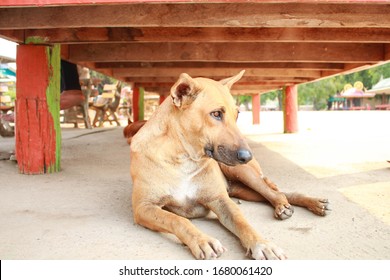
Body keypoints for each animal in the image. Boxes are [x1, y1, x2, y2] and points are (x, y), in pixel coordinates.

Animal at [129, 70, 330, 260]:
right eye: (216, 114)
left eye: (237, 114)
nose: (248, 156)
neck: (183, 157)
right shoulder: (144, 208)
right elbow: (177, 220)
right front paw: (202, 240)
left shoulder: (220, 200)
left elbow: (243, 222)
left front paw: (263, 244)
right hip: (243, 189)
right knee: (276, 194)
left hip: (242, 173)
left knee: (276, 193)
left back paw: (299, 204)